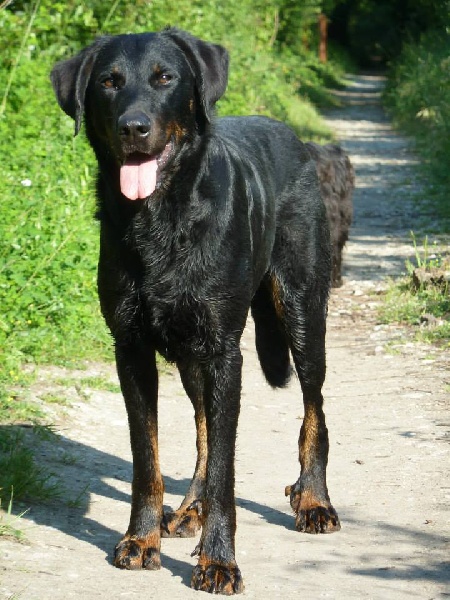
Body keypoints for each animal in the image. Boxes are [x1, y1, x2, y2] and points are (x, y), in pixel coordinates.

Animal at [51, 28, 340, 594]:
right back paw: (189, 509)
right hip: (189, 356)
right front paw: (141, 540)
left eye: (165, 78)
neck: (161, 217)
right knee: (206, 430)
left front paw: (220, 562)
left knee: (313, 408)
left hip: (299, 311)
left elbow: (228, 468)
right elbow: (149, 459)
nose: (134, 127)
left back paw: (314, 499)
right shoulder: (132, 350)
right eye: (108, 82)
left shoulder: (225, 353)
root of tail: (288, 132)